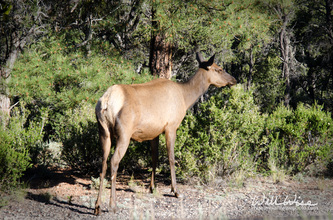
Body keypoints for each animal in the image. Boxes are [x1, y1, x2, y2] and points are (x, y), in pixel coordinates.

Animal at [92, 52, 235, 215]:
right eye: (219, 69)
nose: (234, 80)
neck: (185, 98)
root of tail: (106, 101)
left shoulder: (154, 132)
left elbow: (154, 158)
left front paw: (151, 187)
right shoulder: (171, 126)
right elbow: (171, 158)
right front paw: (175, 191)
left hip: (103, 131)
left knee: (103, 161)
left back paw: (97, 206)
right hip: (124, 133)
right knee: (114, 161)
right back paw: (112, 205)